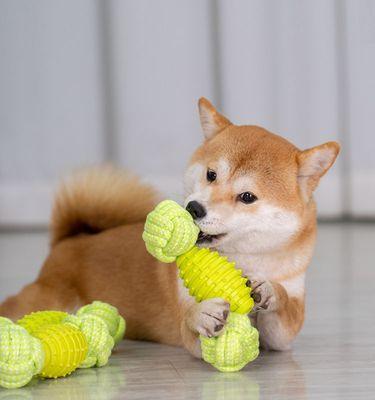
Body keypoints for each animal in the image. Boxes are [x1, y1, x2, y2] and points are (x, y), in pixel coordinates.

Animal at [0, 98, 340, 358]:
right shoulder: (187, 325)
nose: (195, 208)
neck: (240, 259)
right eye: (211, 174)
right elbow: (189, 322)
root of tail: (68, 240)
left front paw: (270, 291)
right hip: (45, 301)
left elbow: (285, 316)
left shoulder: (281, 336)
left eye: (247, 197)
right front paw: (201, 315)